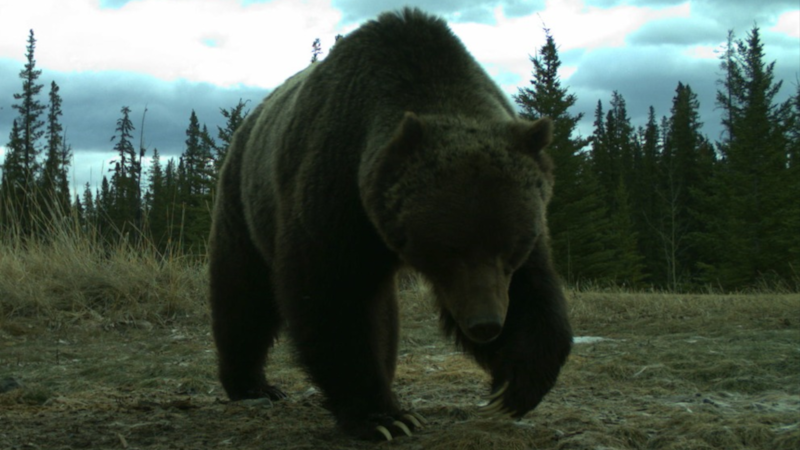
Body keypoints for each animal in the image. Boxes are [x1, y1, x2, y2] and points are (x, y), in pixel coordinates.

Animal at [208, 8, 573, 441]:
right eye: (450, 250)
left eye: (511, 249)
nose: (486, 324)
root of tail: (245, 125)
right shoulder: (334, 191)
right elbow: (331, 297)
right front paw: (384, 417)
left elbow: (536, 289)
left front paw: (516, 385)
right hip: (243, 204)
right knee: (243, 293)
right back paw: (252, 384)